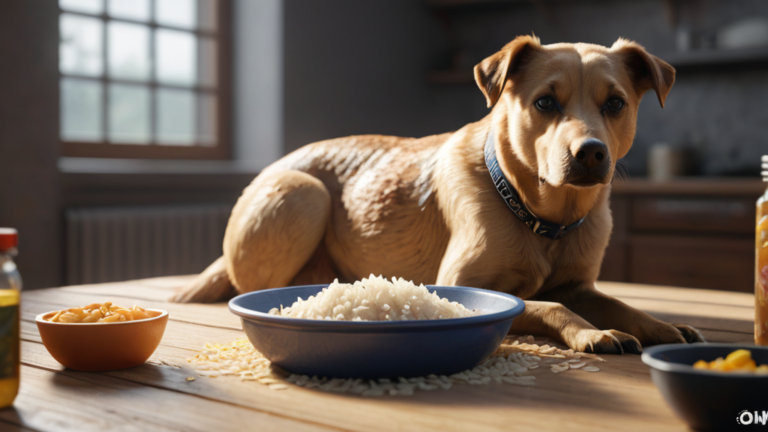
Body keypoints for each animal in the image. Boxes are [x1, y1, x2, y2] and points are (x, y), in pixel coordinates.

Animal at [172, 36, 704, 354]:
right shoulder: (470, 286)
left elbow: (620, 304)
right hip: (303, 194)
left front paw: (661, 327)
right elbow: (549, 306)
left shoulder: (580, 286)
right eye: (545, 103)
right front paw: (591, 331)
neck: (540, 216)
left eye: (615, 104)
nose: (591, 153)